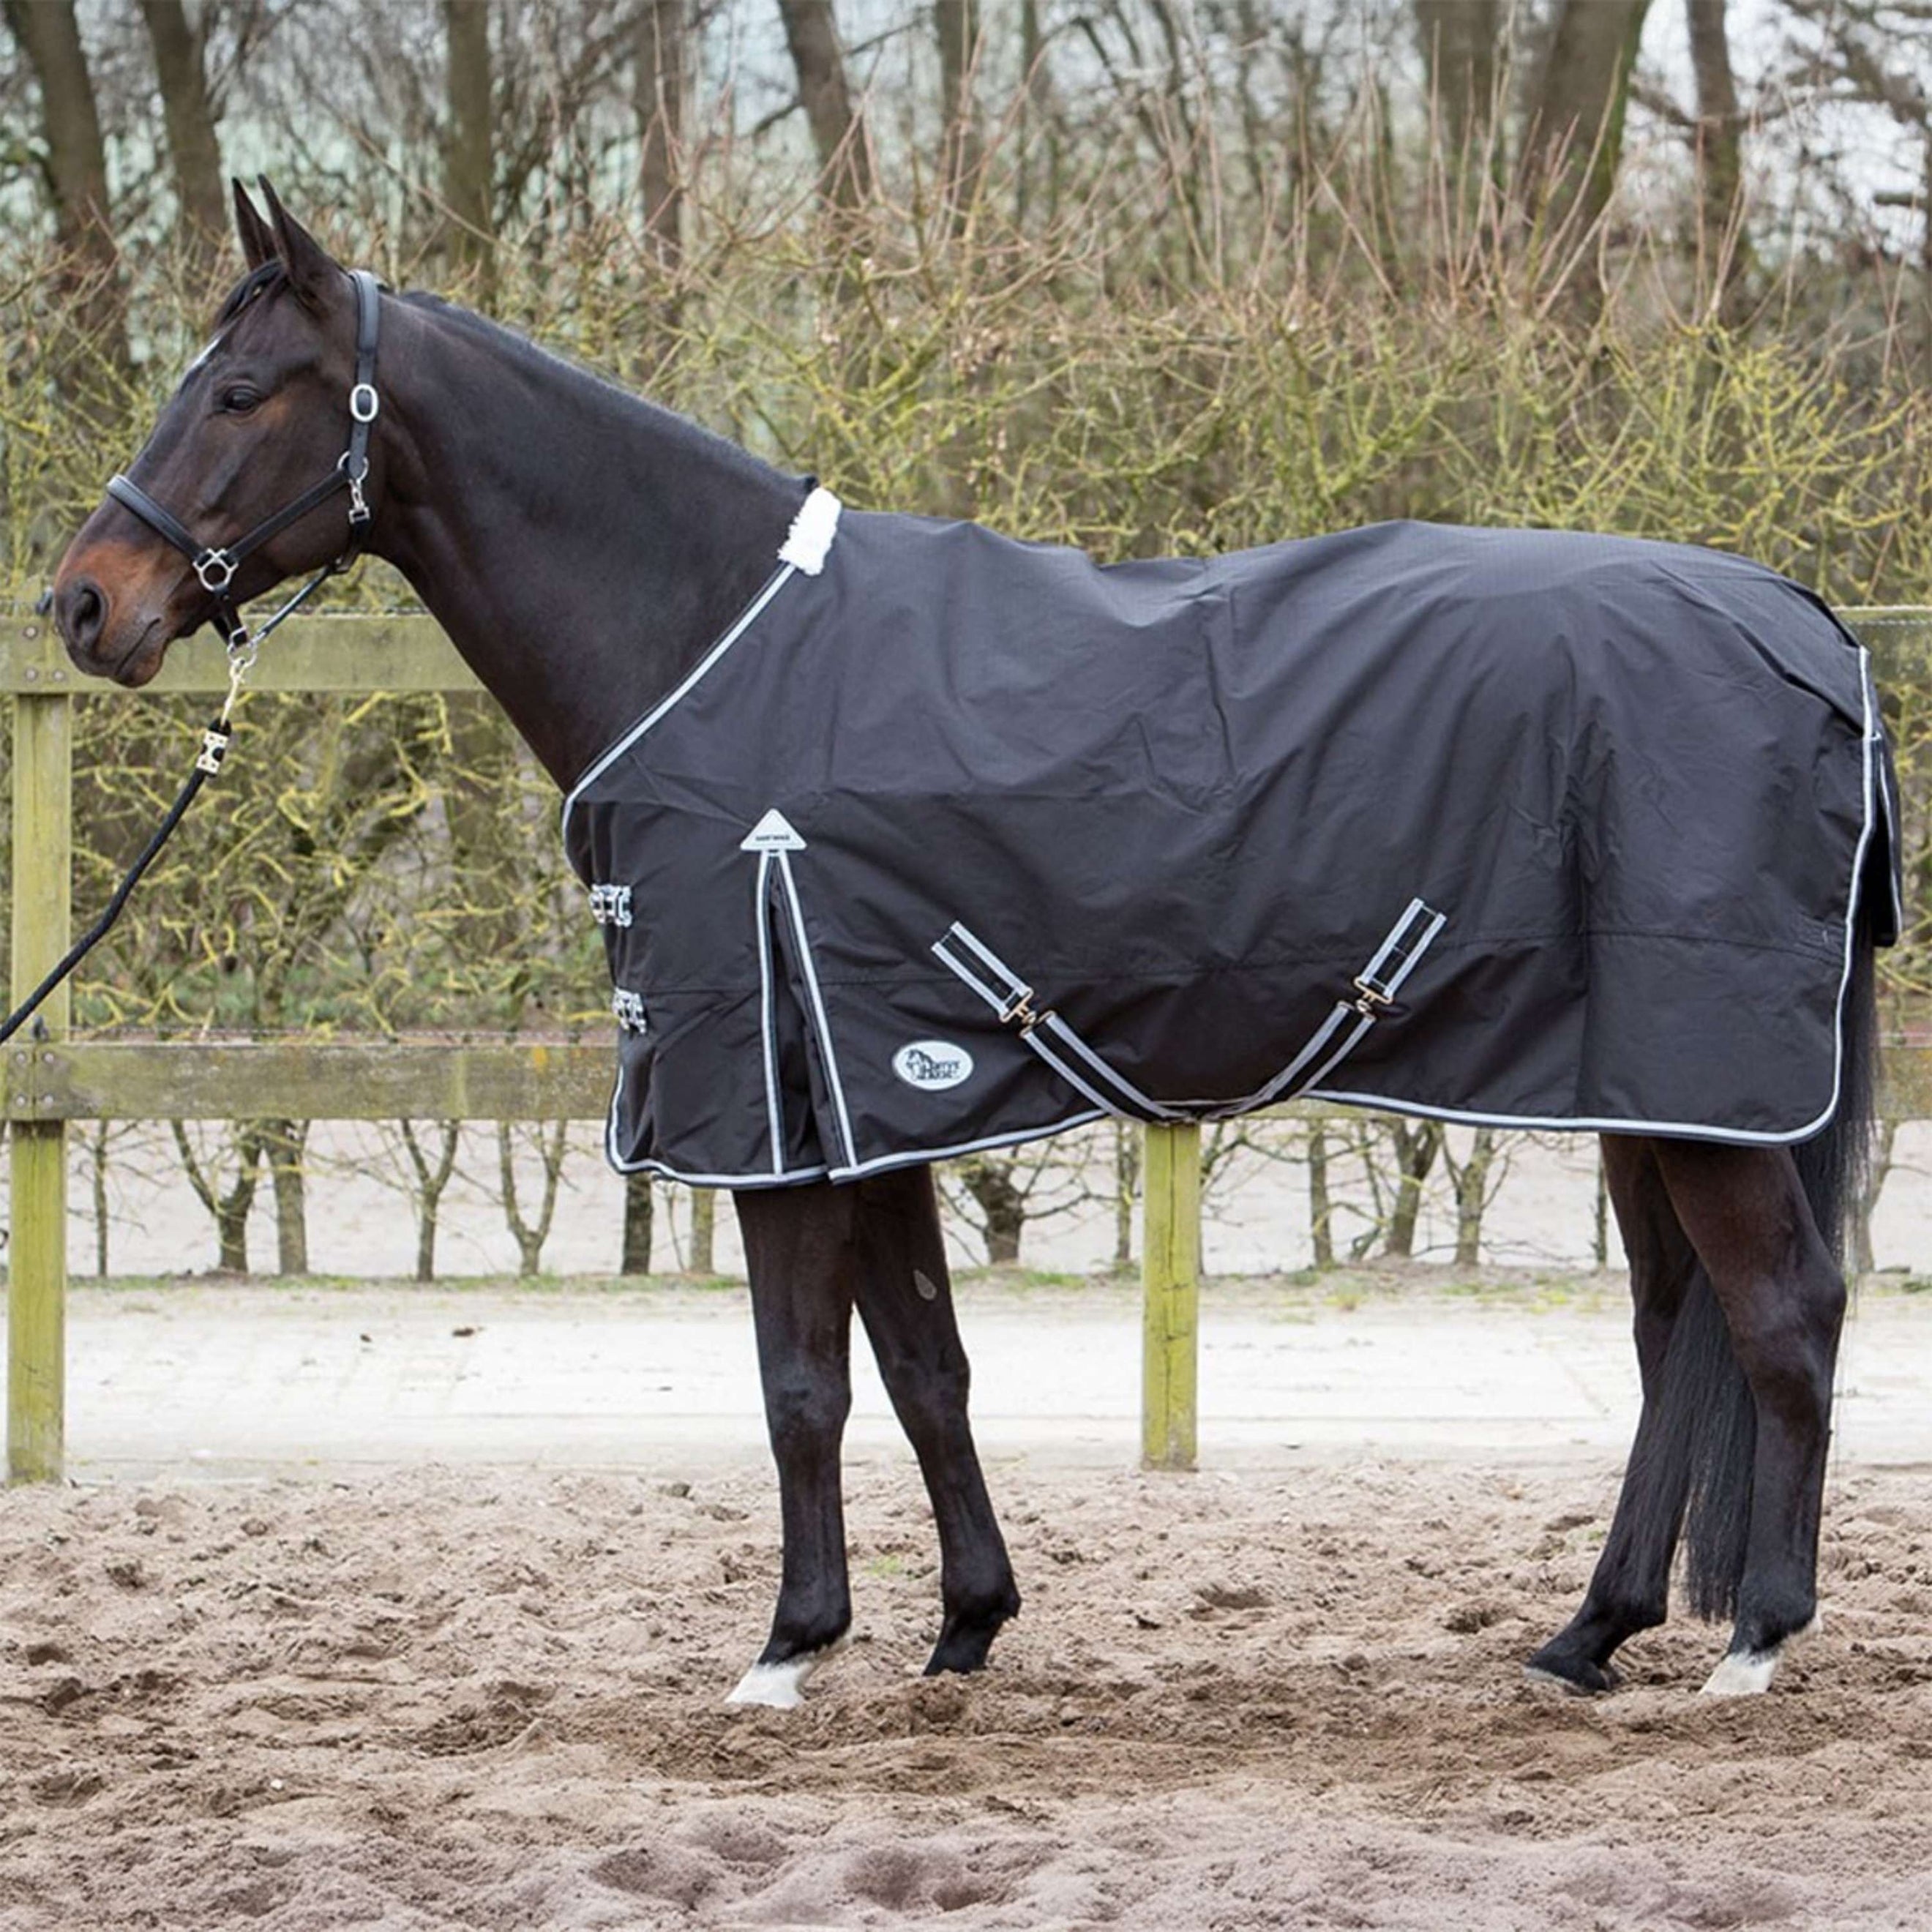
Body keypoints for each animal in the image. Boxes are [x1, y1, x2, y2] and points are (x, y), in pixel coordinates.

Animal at [50, 182, 1892, 1707]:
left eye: (236, 391)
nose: (83, 602)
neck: (714, 646)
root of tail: (1805, 626)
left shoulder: (775, 1112)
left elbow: (801, 1383)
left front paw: (790, 1648)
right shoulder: (867, 1097)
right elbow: (924, 1365)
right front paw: (962, 1629)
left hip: (1707, 1089)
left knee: (1785, 1315)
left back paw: (1755, 1643)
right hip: (1648, 1090)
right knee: (1671, 1335)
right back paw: (1589, 1635)